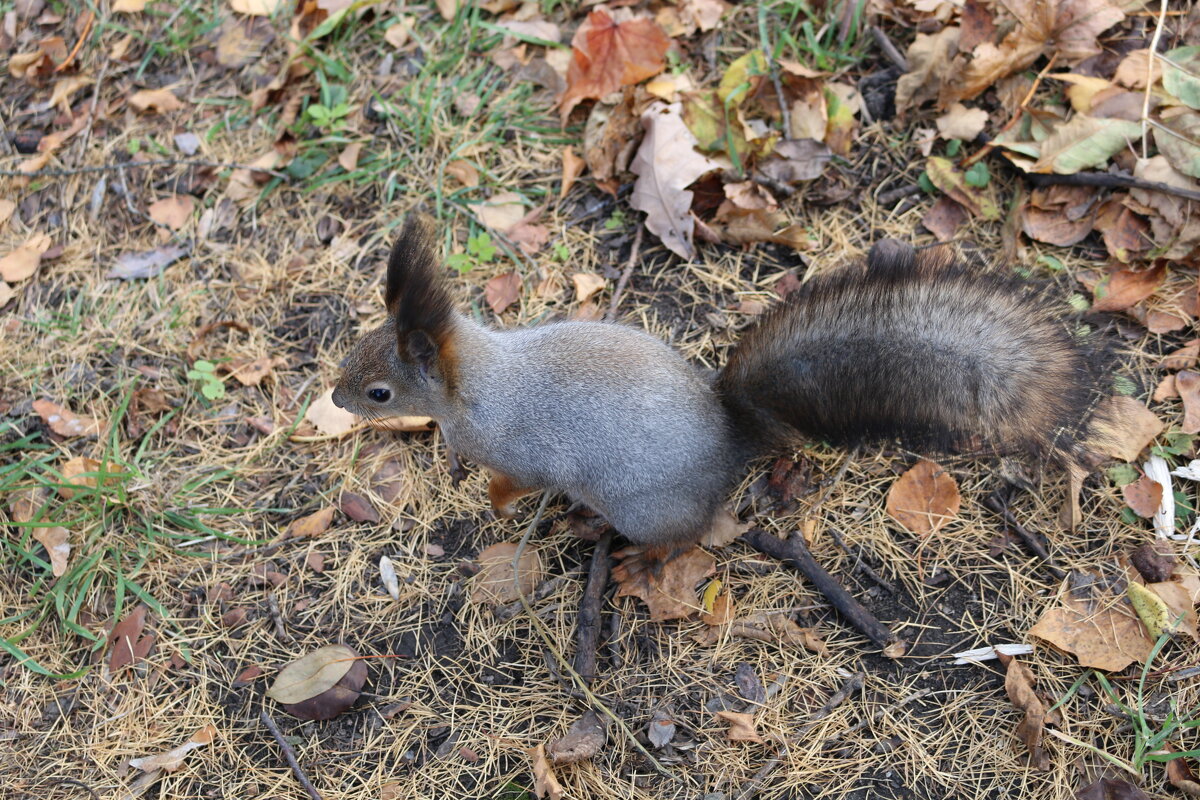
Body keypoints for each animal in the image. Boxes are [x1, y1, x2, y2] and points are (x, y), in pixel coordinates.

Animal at [331, 214, 1104, 563]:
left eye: (379, 393)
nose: (336, 401)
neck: (474, 383)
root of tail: (731, 441)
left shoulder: (520, 447)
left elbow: (514, 480)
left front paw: (491, 499)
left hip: (643, 509)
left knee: (679, 540)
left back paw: (620, 547)